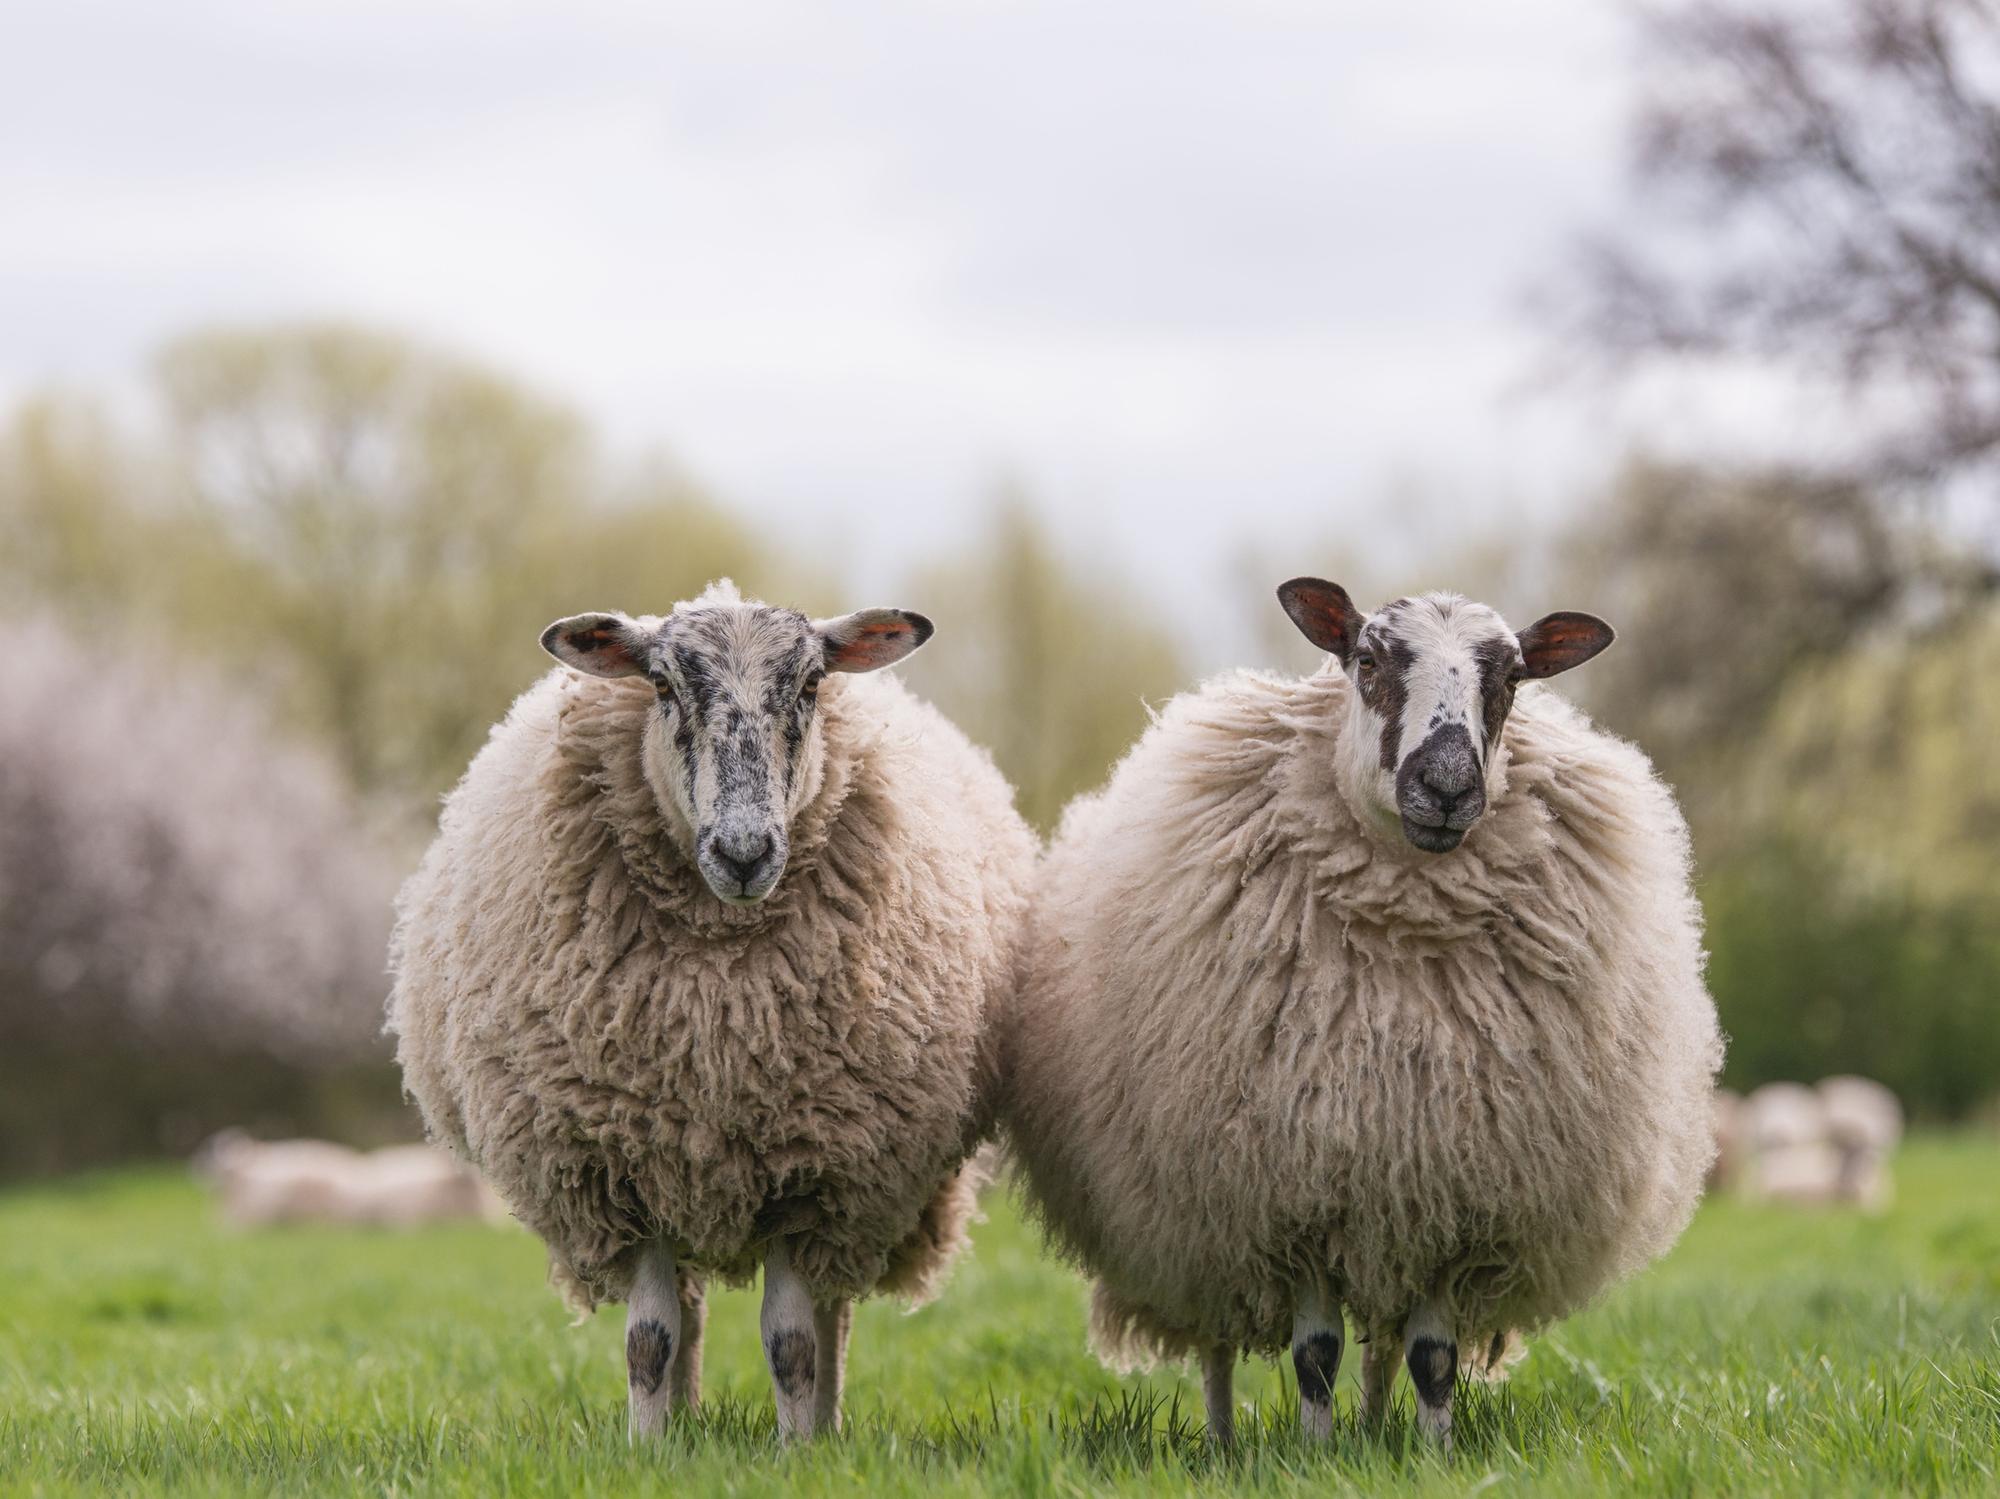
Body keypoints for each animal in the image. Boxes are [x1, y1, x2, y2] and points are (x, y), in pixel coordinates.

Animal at [388, 581, 1035, 1442]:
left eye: (811, 684)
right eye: (662, 685)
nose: (744, 853)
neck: (716, 1015)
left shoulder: (816, 1167)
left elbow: (793, 1341)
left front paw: (797, 1450)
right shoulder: (622, 1166)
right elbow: (649, 1339)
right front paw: (648, 1447)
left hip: (856, 1194)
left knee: (832, 1316)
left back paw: (824, 1426)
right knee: (688, 1316)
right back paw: (686, 1421)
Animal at [1002, 582, 1722, 1450]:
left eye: (1513, 677)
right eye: (1369, 659)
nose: (1447, 787)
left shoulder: (1457, 1195)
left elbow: (1434, 1356)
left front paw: (1435, 1453)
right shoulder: (1293, 1195)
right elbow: (1315, 1350)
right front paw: (1314, 1456)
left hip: (1390, 1207)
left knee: (1385, 1343)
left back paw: (1379, 1427)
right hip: (1199, 1217)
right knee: (1216, 1341)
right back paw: (1224, 1442)